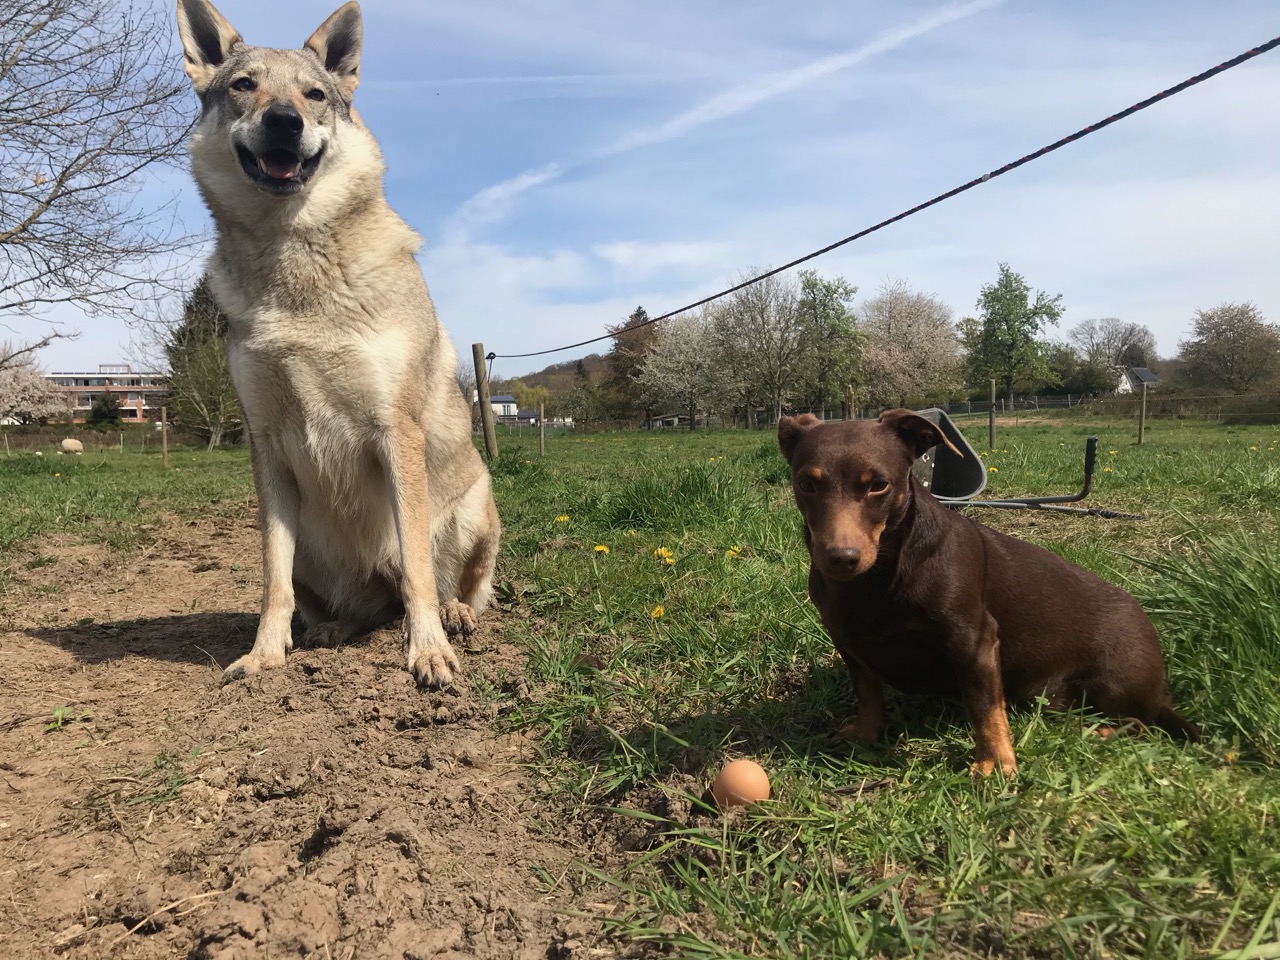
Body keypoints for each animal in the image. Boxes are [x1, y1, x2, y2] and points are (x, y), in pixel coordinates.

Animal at [778, 409, 1198, 778]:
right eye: (806, 484)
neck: (878, 576)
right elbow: (867, 693)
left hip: (1113, 682)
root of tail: (1162, 690)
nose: (841, 558)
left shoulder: (973, 642)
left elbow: (984, 706)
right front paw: (864, 734)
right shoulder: (848, 644)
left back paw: (1099, 732)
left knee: (1141, 724)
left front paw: (995, 761)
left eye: (878, 484)